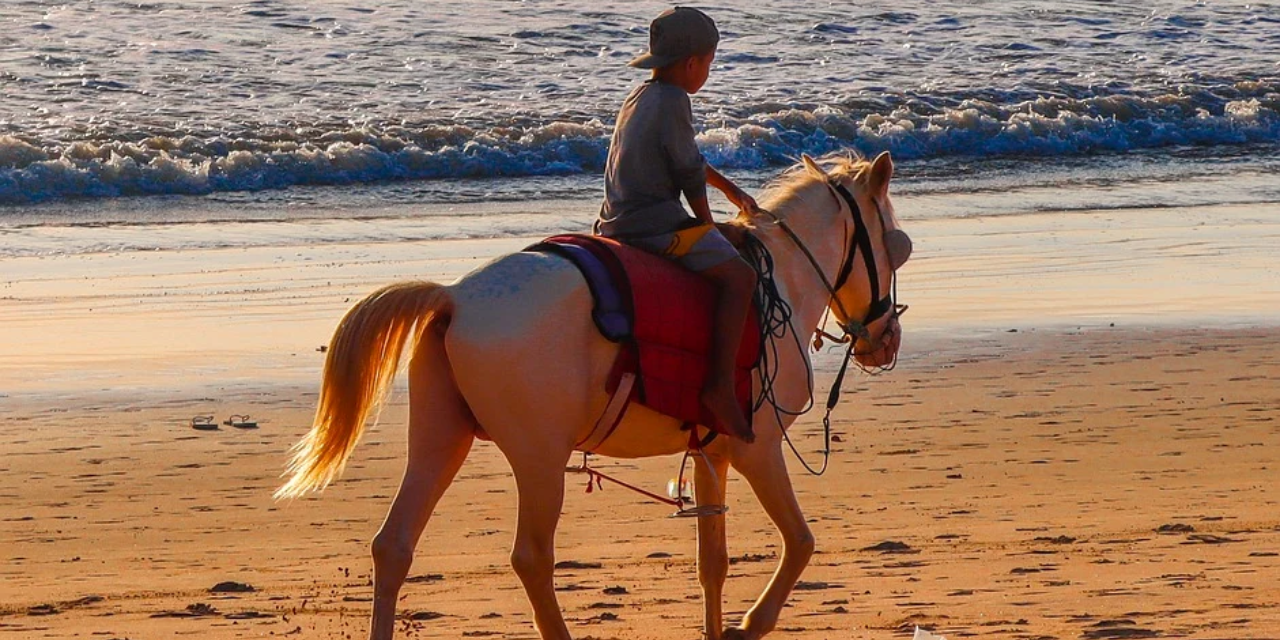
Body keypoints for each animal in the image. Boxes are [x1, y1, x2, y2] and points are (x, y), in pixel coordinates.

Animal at [277, 151, 911, 640]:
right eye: (896, 246)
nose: (886, 340)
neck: (781, 279)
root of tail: (454, 297)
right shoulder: (758, 450)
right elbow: (800, 542)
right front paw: (751, 623)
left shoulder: (712, 453)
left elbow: (713, 563)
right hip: (538, 458)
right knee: (531, 558)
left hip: (439, 439)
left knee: (393, 546)